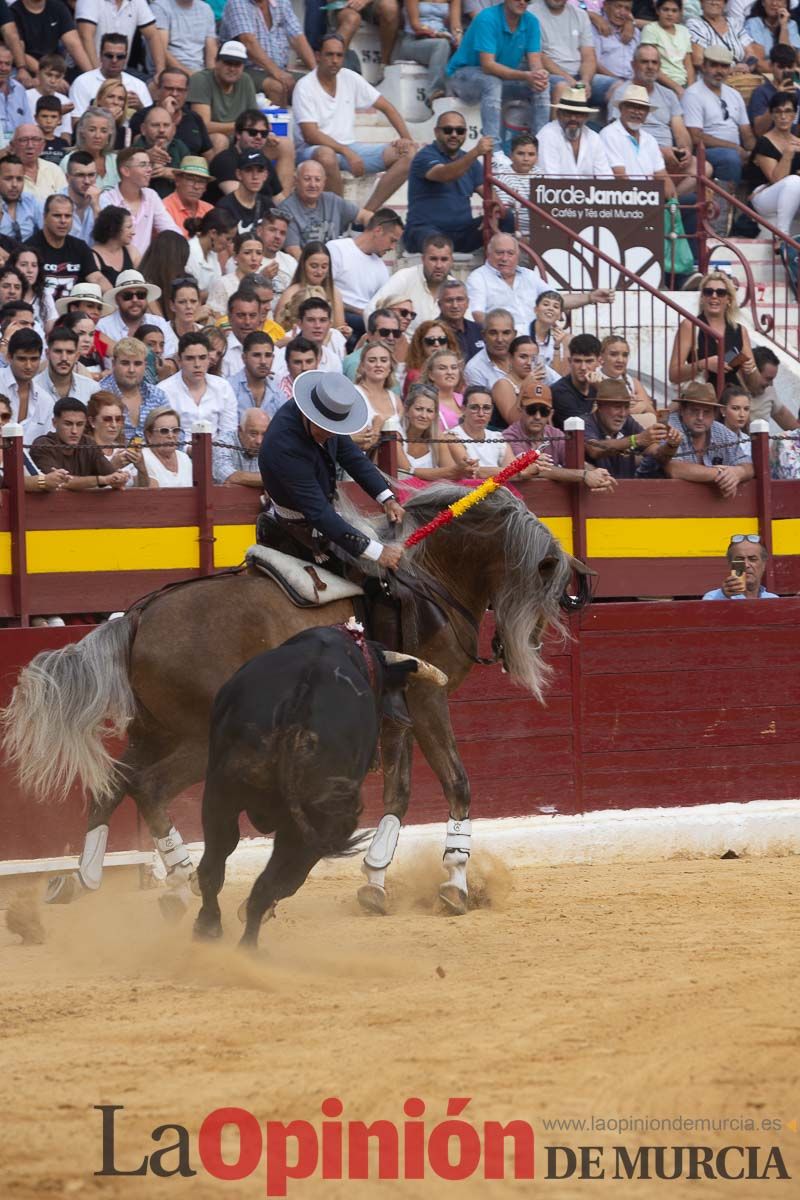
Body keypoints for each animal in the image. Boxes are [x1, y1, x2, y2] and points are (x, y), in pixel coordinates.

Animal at [194, 628, 443, 945]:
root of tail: (299, 702)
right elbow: (289, 881)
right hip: (317, 820)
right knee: (272, 881)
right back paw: (247, 947)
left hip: (221, 791)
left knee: (217, 862)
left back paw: (209, 927)